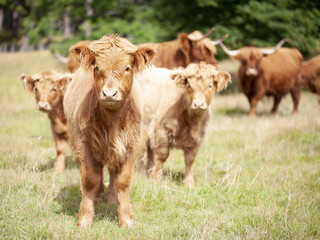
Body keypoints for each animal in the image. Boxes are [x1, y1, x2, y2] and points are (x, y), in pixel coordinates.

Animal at [63, 33, 154, 227]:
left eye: (127, 68)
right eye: (97, 67)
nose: (109, 94)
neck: (112, 122)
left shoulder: (131, 145)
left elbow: (123, 181)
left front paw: (125, 218)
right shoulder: (84, 144)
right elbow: (90, 179)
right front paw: (85, 217)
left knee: (112, 171)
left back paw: (112, 198)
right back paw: (99, 196)